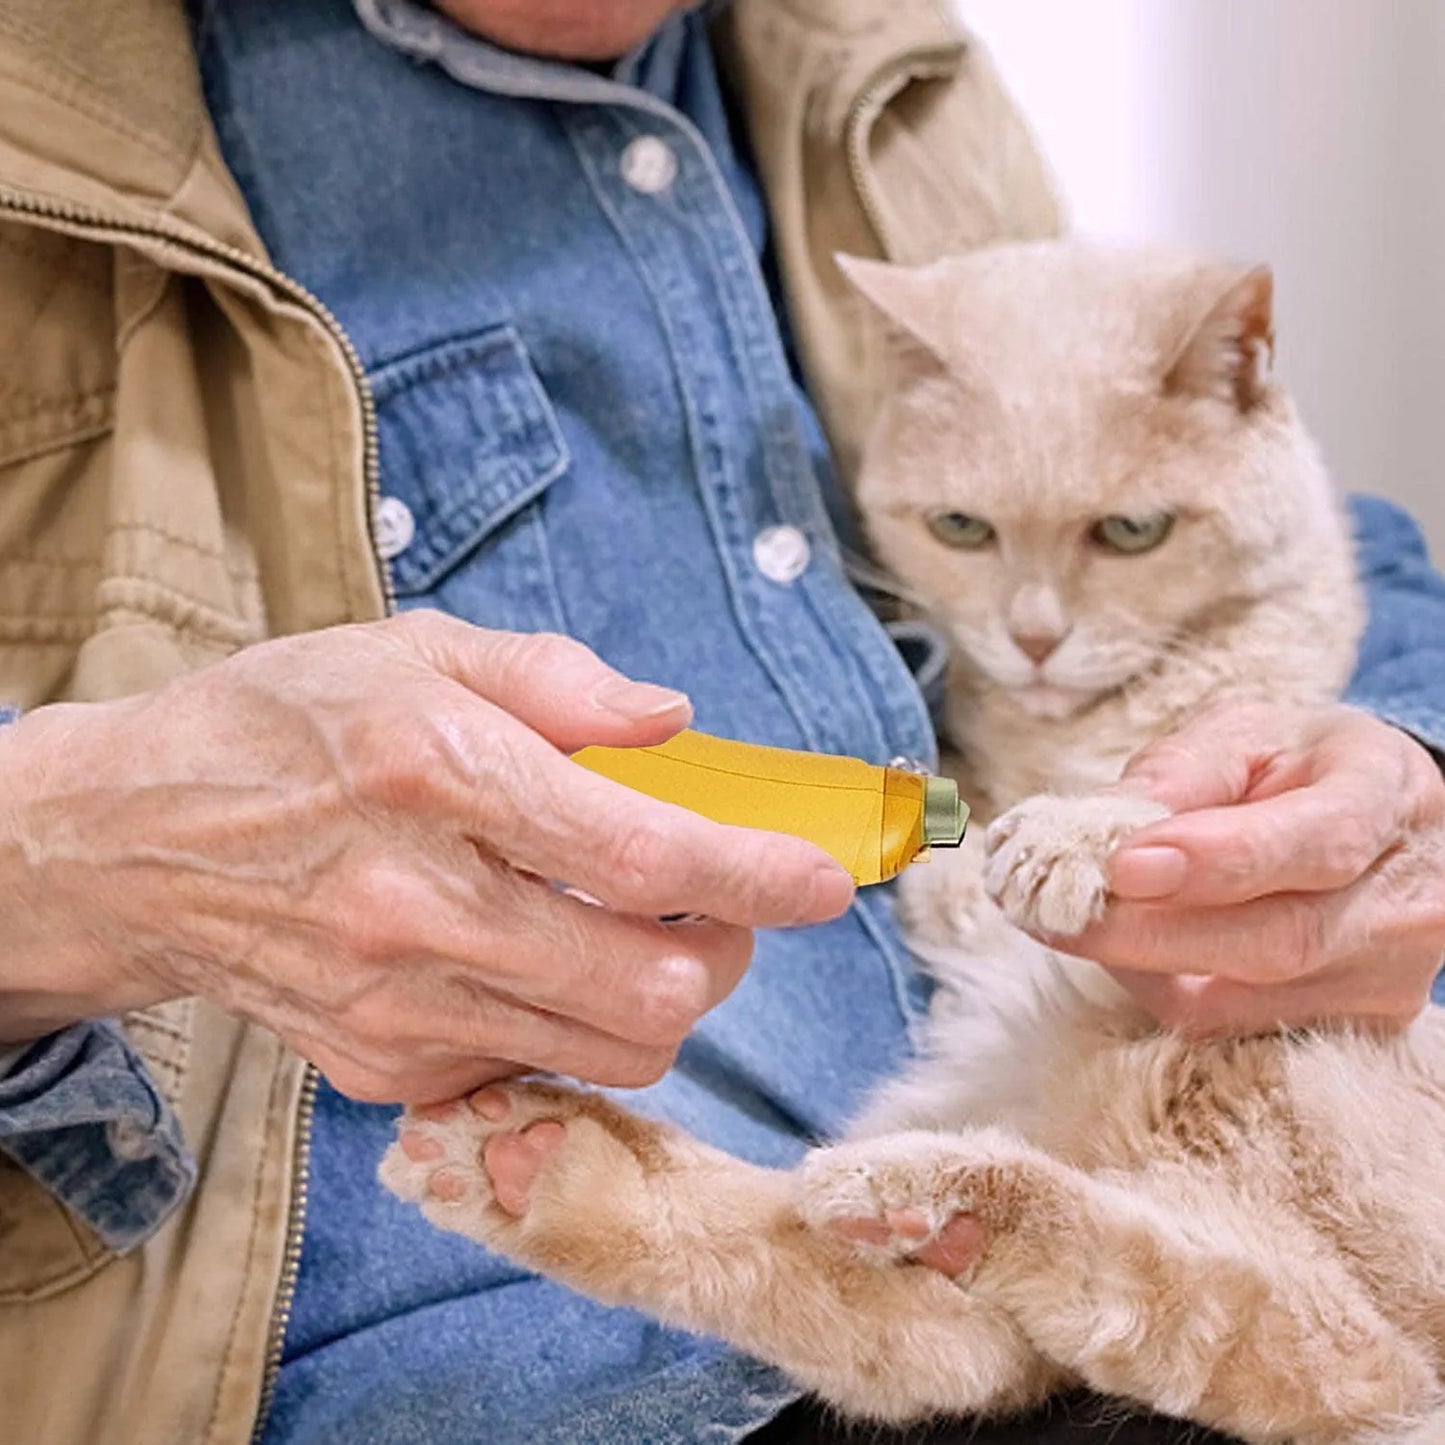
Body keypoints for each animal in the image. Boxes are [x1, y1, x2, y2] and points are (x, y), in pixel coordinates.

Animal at [375, 242, 1445, 1439]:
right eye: (960, 529)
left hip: (1339, 1309)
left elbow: (1157, 790)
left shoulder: (1249, 724)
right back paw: (543, 1166)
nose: (1033, 637)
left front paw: (1065, 836)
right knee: (957, 1323)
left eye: (1130, 532)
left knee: (1239, 1322)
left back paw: (921, 1193)